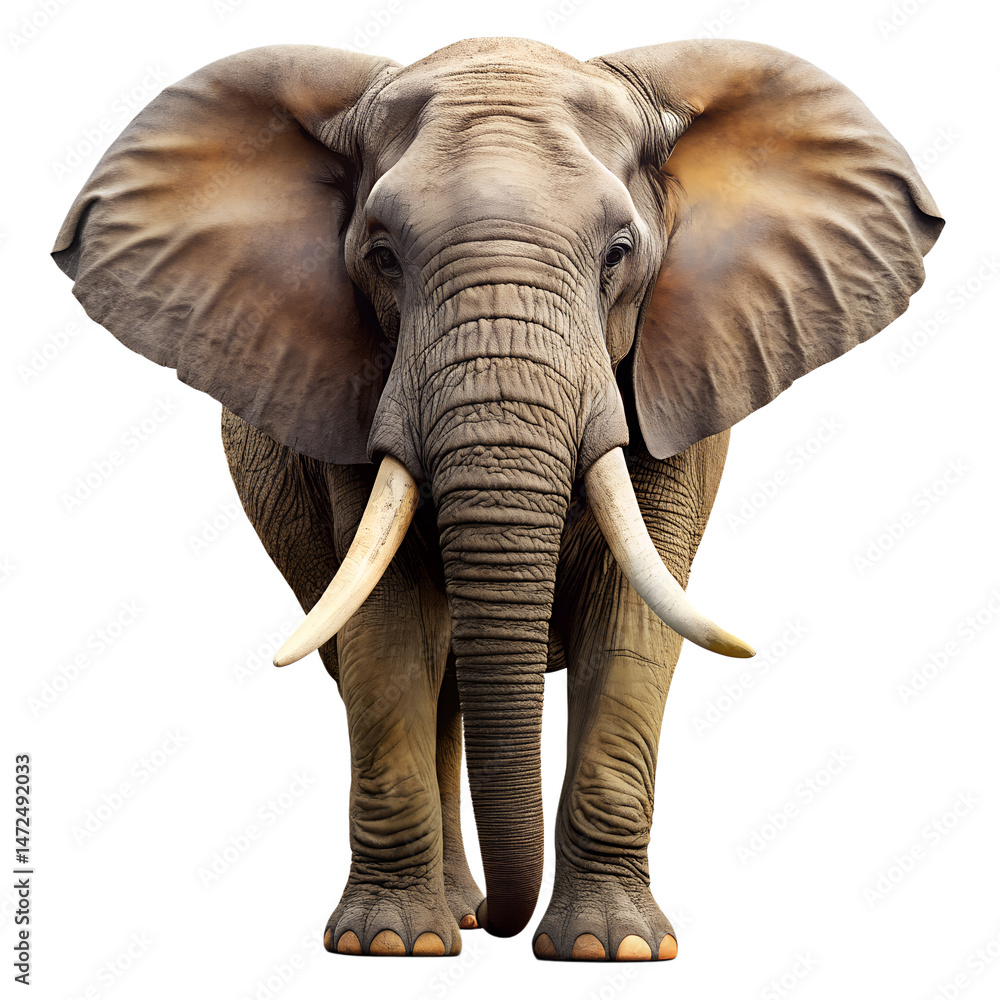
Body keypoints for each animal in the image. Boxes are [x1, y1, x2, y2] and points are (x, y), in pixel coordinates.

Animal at [52, 37, 943, 961]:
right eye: (381, 255)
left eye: (619, 251)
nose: (512, 928)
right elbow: (388, 627)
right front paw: (389, 945)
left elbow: (632, 618)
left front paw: (612, 950)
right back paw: (451, 918)